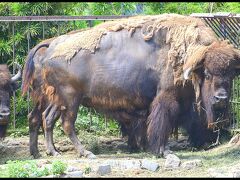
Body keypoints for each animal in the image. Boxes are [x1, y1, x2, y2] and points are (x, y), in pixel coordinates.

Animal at [21, 13, 239, 158]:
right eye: (207, 74)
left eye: (231, 75)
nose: (221, 98)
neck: (190, 58)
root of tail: (51, 48)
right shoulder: (166, 96)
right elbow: (162, 122)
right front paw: (162, 150)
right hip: (71, 99)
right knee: (66, 123)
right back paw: (85, 152)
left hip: (58, 100)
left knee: (45, 118)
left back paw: (48, 152)